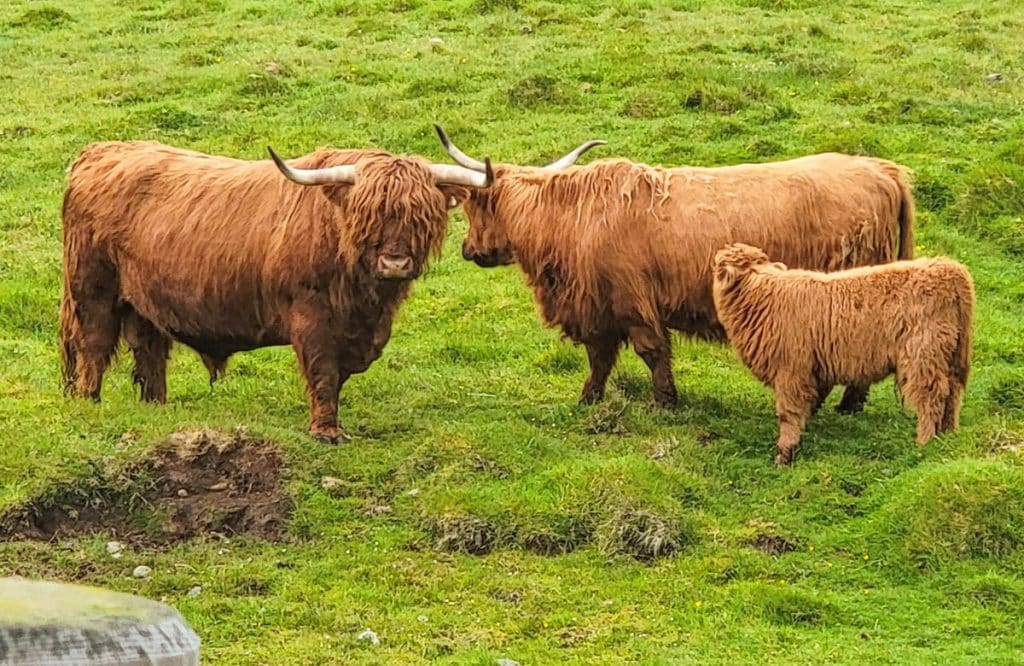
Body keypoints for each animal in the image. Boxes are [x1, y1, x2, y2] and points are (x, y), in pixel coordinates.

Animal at [59, 140, 492, 443]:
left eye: (421, 215)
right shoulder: (310, 316)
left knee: (149, 354)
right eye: (366, 215)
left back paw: (157, 409)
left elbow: (337, 375)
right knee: (93, 347)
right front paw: (325, 431)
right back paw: (90, 403)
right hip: (93, 290)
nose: (395, 263)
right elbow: (323, 372)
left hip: (145, 304)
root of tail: (100, 151)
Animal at [434, 125, 915, 412]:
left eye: (473, 206)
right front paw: (589, 399)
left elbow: (650, 352)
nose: (468, 249)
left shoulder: (629, 301)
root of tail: (881, 168)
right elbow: (600, 358)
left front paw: (665, 402)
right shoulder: (600, 308)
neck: (571, 217)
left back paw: (843, 405)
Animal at [712, 243, 973, 464]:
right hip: (950, 354)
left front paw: (784, 454)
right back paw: (947, 435)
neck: (763, 297)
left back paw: (925, 441)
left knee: (932, 396)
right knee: (953, 393)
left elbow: (789, 413)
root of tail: (948, 268)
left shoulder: (791, 371)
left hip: (923, 353)